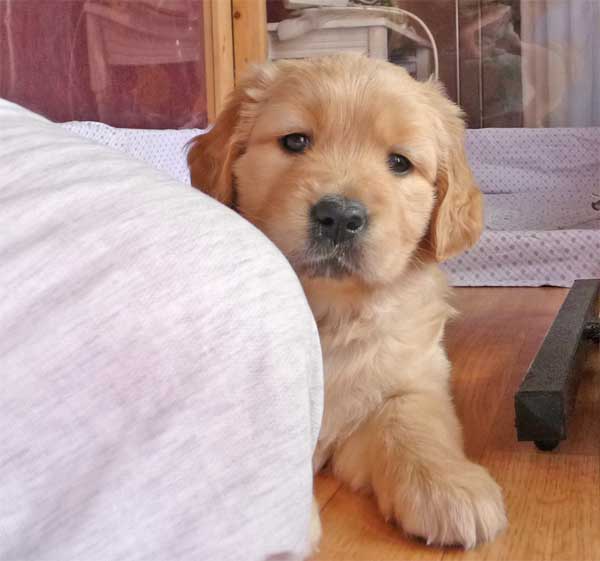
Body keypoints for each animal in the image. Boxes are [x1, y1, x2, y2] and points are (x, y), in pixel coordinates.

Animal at [188, 54, 507, 550]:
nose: (339, 216)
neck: (329, 312)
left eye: (399, 163)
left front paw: (450, 486)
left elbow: (412, 419)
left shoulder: (412, 376)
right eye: (295, 141)